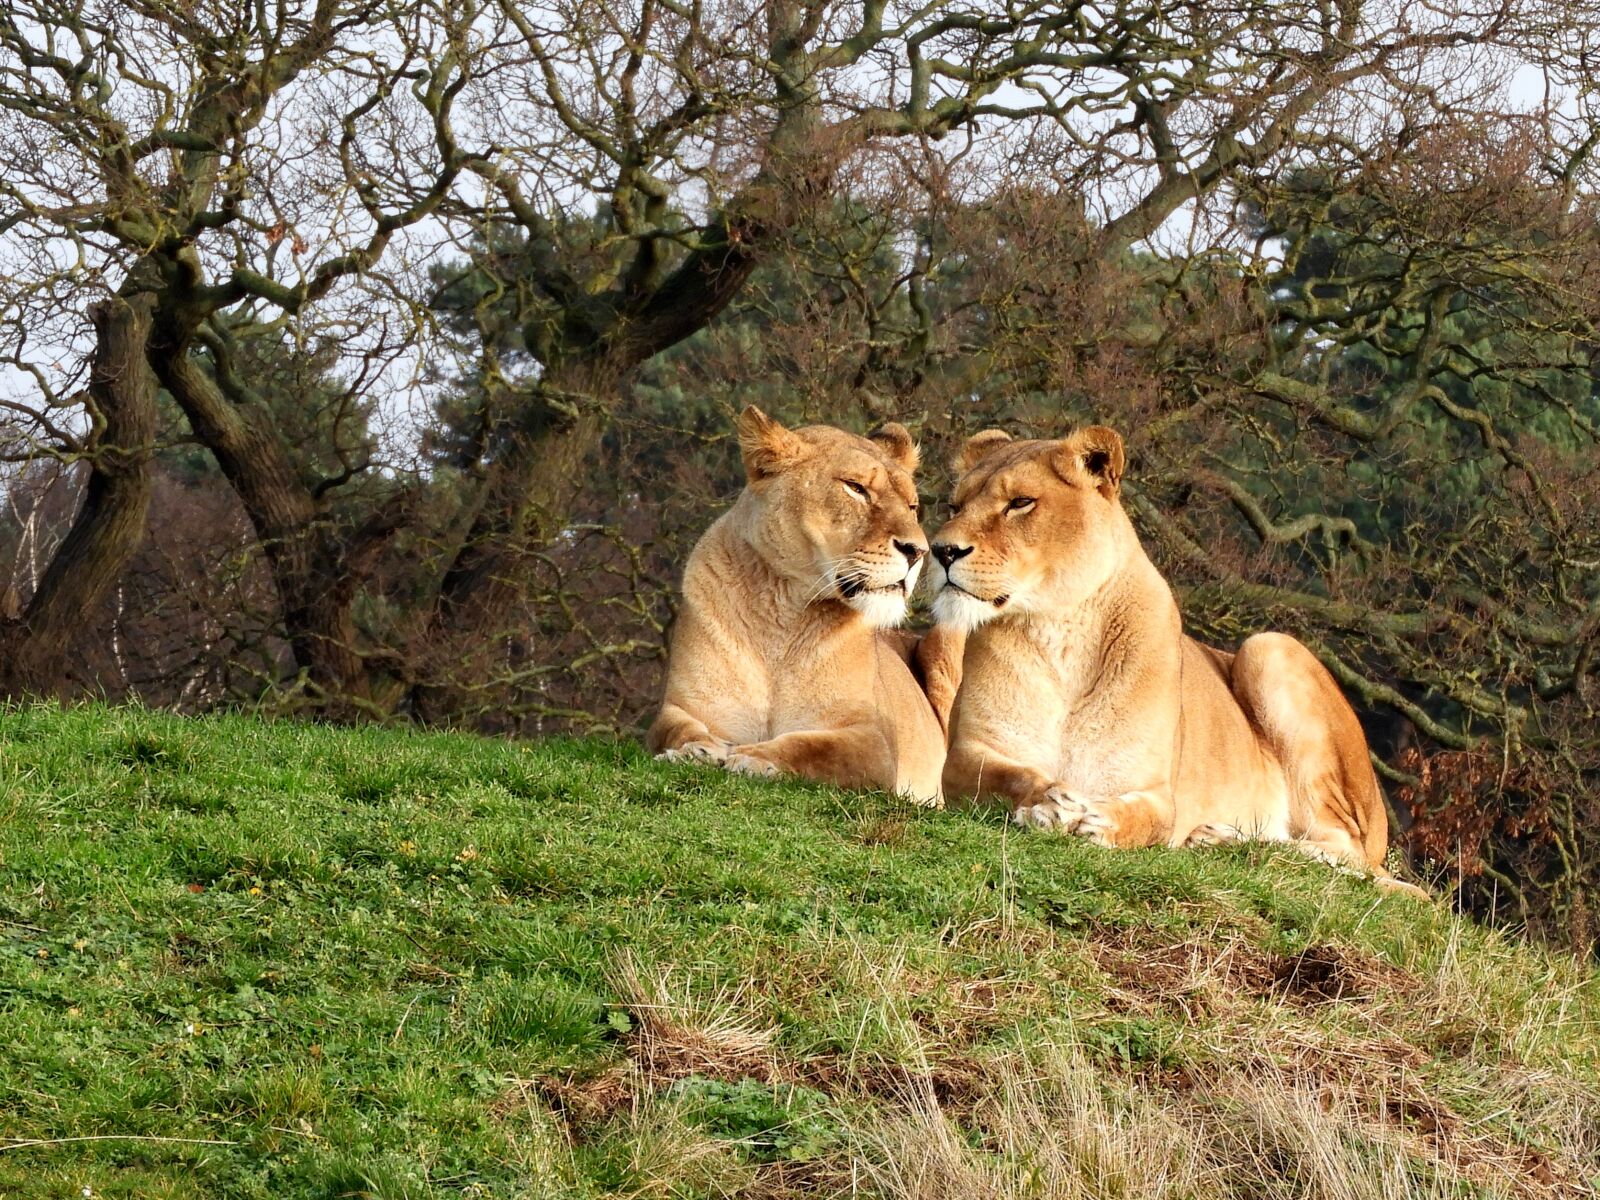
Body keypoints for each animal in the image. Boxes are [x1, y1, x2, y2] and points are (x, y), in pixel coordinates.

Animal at [646, 406, 953, 809]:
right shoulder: (686, 707)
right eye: (856, 488)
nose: (918, 551)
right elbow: (673, 729)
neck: (783, 614)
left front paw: (754, 758)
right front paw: (695, 751)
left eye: (912, 505)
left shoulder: (877, 742)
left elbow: (814, 748)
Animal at [934, 428, 1433, 896]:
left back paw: (1224, 839)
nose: (941, 551)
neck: (1061, 631)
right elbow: (1007, 776)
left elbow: (1148, 819)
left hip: (1270, 647)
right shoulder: (967, 756)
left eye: (1020, 502)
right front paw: (1051, 804)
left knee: (1349, 856)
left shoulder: (1158, 792)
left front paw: (1099, 822)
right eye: (954, 506)